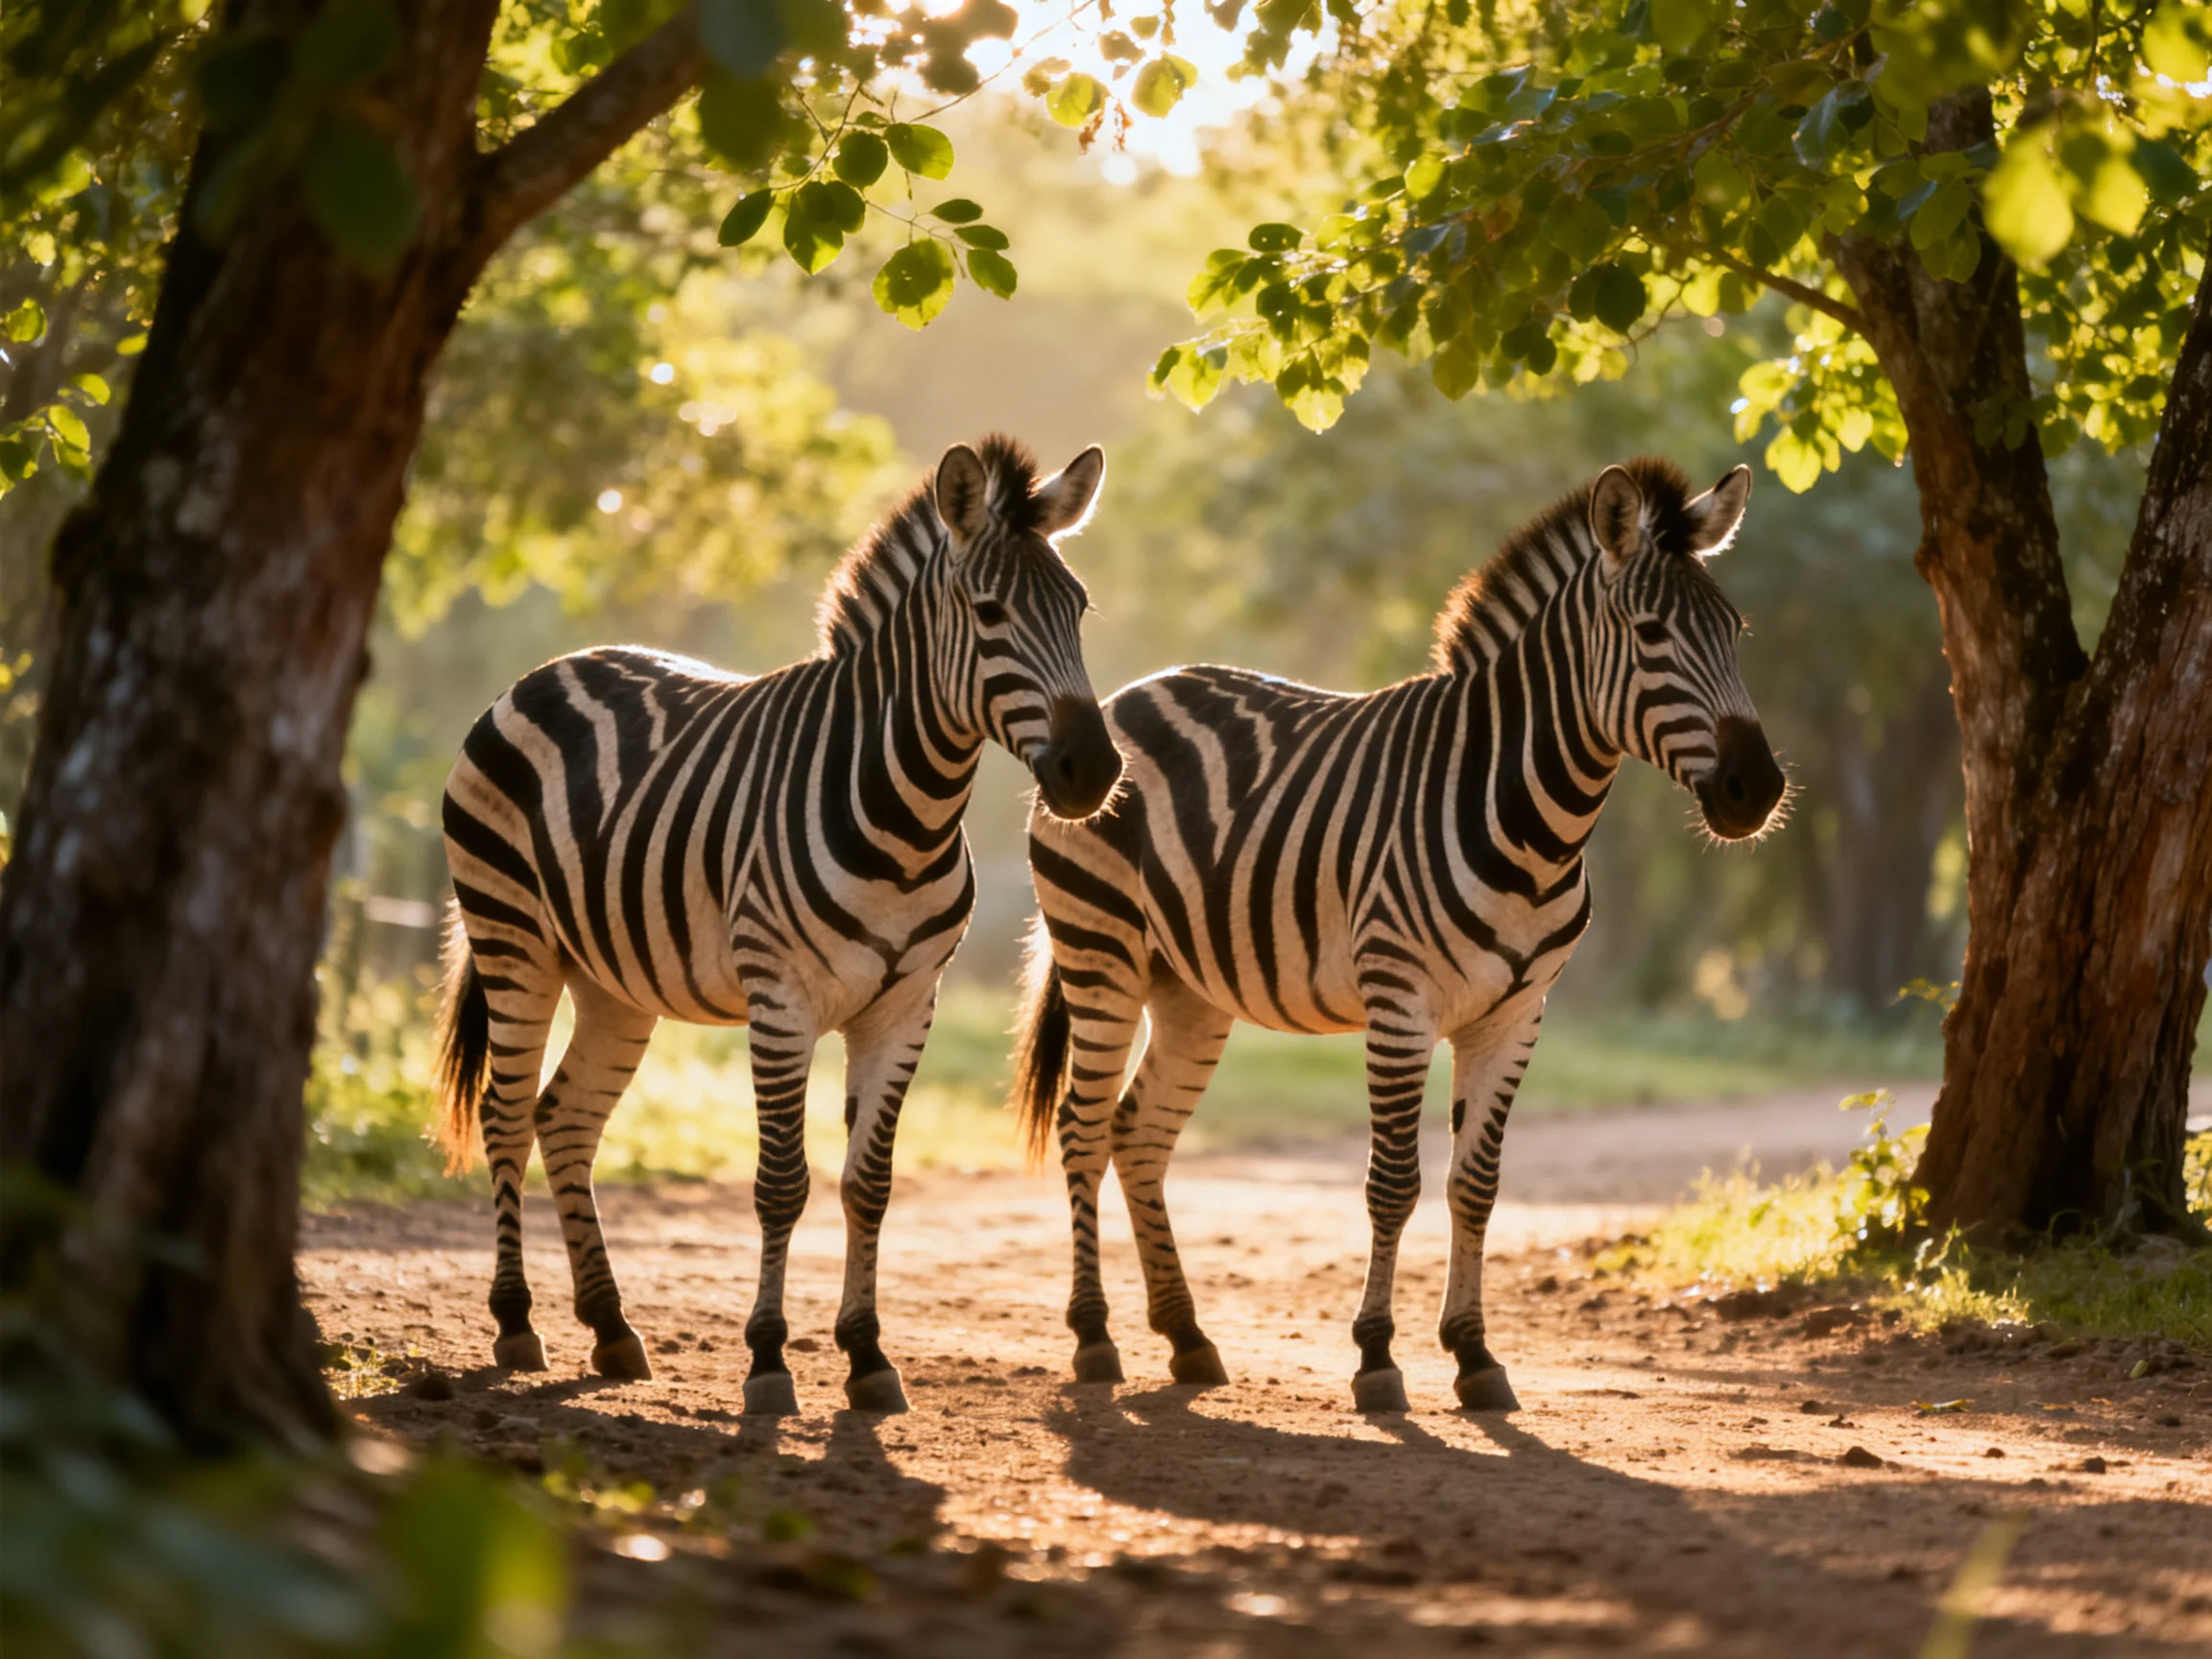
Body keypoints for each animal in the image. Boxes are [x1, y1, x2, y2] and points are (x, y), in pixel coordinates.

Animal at [434, 436, 1121, 1416]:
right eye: (989, 613)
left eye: (1079, 609)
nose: (1091, 772)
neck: (905, 812)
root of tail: (550, 669)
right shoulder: (781, 999)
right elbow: (781, 1184)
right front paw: (767, 1361)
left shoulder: (905, 1006)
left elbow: (868, 1186)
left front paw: (867, 1357)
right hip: (513, 940)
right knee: (503, 1112)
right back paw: (516, 1321)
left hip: (612, 982)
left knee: (564, 1118)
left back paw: (610, 1327)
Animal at [1012, 458, 1786, 1414]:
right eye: (1649, 633)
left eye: (1734, 631)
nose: (1759, 789)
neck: (1526, 817)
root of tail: (1129, 694)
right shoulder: (1400, 1004)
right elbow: (1392, 1185)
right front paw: (1377, 1358)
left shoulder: (1516, 1015)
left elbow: (1475, 1186)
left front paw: (1475, 1354)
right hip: (1101, 952)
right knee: (1084, 1128)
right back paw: (1094, 1338)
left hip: (1187, 989)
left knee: (1138, 1135)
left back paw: (1187, 1338)